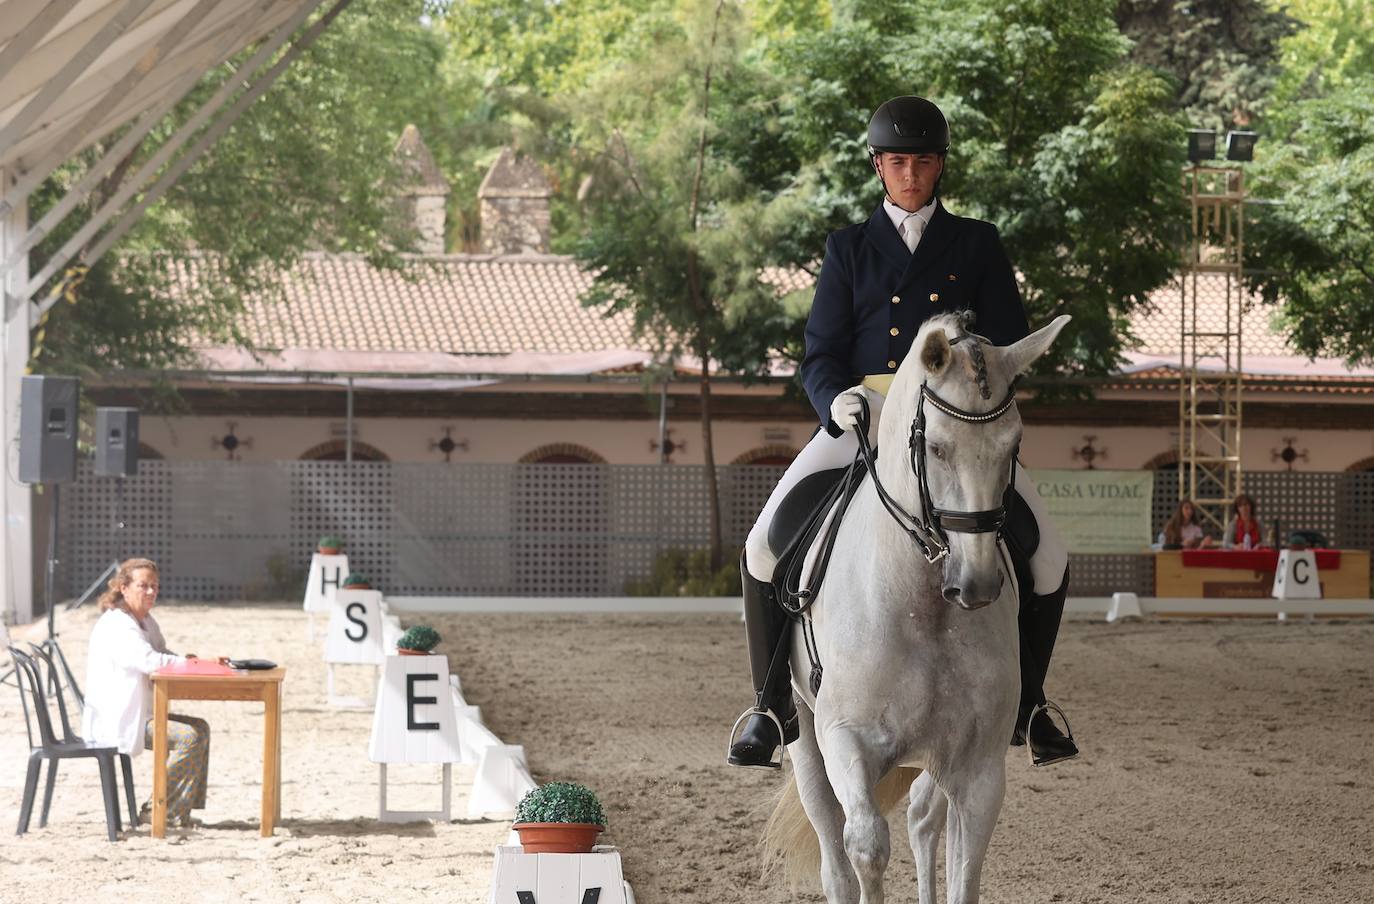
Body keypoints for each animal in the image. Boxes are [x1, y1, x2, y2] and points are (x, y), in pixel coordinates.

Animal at [763, 311, 1071, 901]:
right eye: (938, 448)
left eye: (1014, 445)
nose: (975, 584)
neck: (922, 608)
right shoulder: (845, 739)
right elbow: (866, 847)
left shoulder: (978, 768)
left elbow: (964, 871)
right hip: (805, 736)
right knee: (835, 853)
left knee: (924, 818)